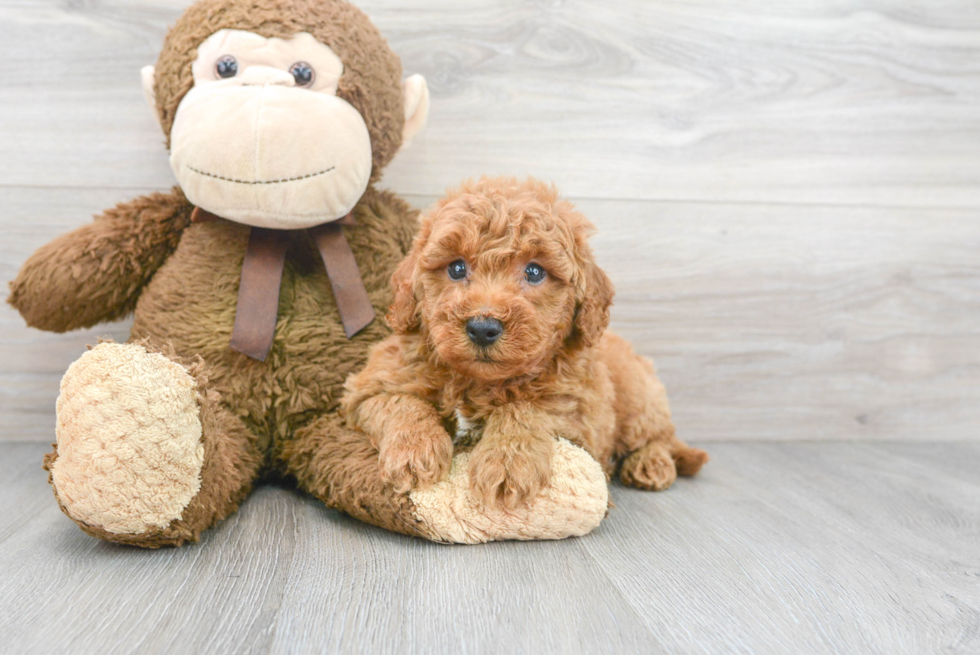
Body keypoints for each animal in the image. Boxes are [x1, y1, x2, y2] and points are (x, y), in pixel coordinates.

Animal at [340, 177, 708, 510]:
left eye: (534, 272)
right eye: (456, 268)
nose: (482, 327)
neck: (479, 382)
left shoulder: (579, 410)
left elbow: (524, 407)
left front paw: (507, 463)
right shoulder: (371, 387)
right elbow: (402, 403)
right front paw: (414, 451)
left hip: (638, 400)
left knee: (659, 437)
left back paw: (651, 464)